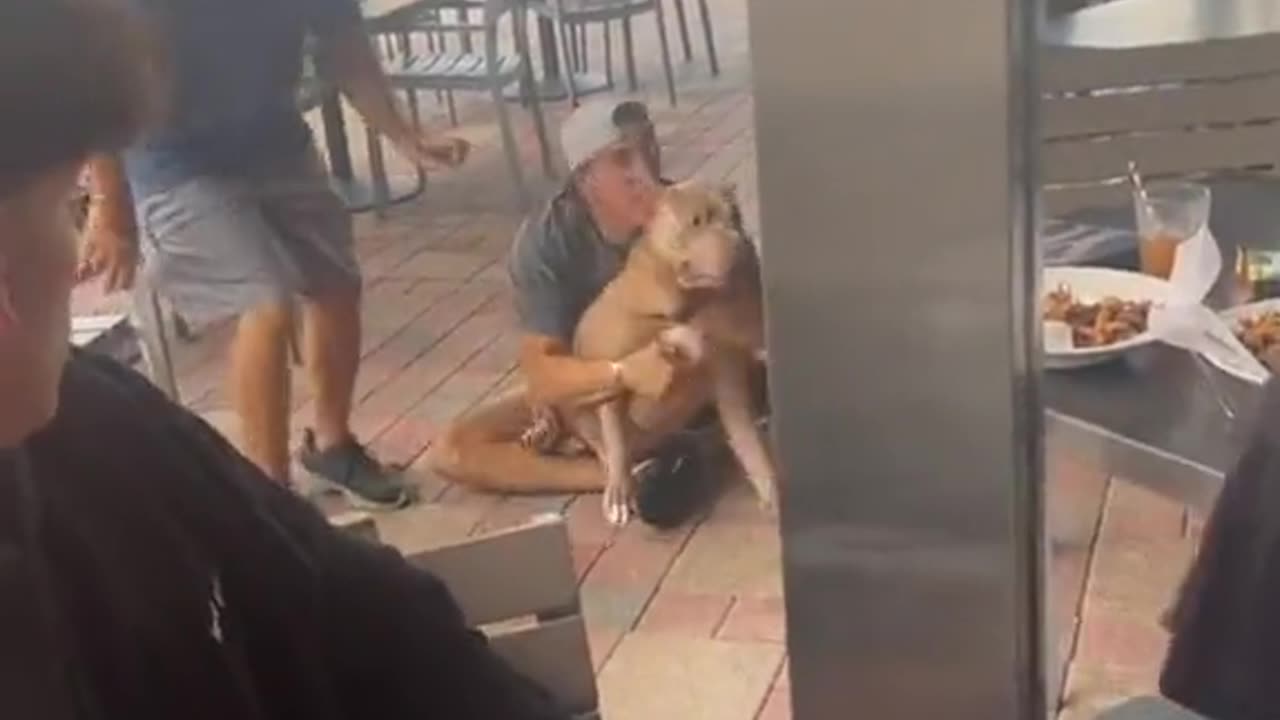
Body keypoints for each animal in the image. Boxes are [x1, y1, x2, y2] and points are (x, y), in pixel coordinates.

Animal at [527, 181, 768, 525]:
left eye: (735, 217)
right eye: (697, 220)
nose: (740, 243)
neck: (684, 299)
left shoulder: (728, 374)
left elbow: (750, 444)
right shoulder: (609, 366)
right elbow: (613, 431)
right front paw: (619, 488)